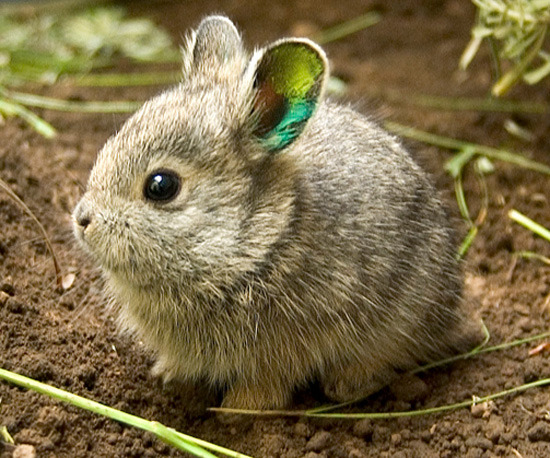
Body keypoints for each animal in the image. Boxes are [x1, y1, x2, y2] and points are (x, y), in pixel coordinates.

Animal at [72, 14, 484, 410]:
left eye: (161, 186)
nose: (82, 220)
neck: (257, 242)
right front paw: (169, 375)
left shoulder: (284, 347)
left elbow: (266, 385)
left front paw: (238, 410)